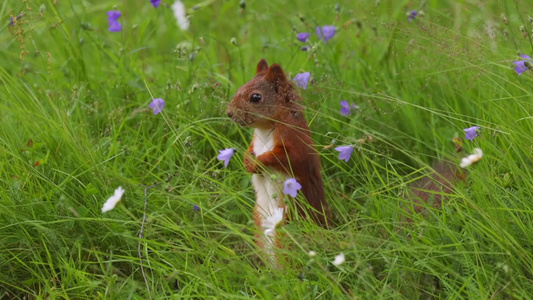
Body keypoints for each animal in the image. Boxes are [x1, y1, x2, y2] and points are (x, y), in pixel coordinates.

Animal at [225, 58, 332, 262]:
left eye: (256, 97)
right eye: (240, 87)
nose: (229, 113)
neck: (265, 129)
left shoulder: (297, 142)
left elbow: (288, 158)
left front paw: (259, 161)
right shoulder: (254, 142)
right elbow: (249, 150)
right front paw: (247, 161)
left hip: (290, 223)